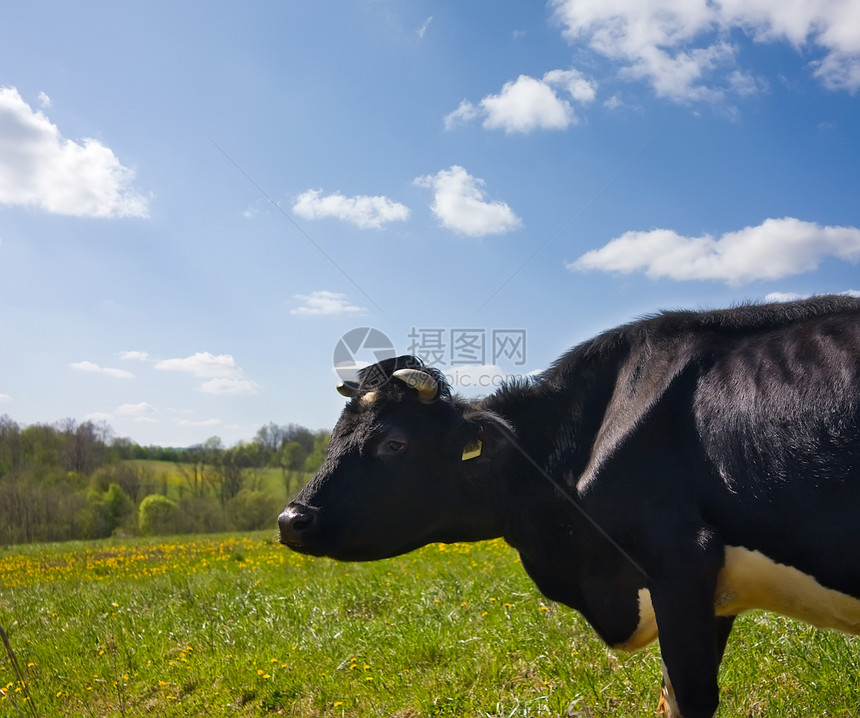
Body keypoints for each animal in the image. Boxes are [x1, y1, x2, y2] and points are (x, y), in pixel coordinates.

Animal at [278, 296, 860, 718]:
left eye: (394, 444)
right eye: (334, 436)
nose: (291, 519)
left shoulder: (680, 561)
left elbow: (691, 698)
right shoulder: (710, 593)